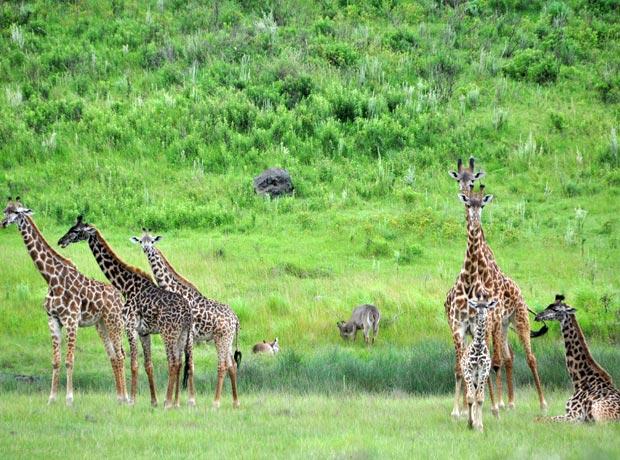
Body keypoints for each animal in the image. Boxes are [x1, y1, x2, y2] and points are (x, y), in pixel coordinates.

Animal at [0, 196, 127, 404]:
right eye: (5, 210)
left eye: (18, 212)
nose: (3, 223)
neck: (51, 278)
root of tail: (120, 298)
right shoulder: (53, 319)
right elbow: (55, 361)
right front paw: (51, 399)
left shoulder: (71, 320)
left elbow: (69, 361)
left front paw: (69, 399)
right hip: (101, 324)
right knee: (114, 356)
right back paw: (119, 397)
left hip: (113, 321)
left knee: (121, 355)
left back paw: (125, 398)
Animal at [57, 215, 195, 406]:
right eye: (70, 227)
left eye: (76, 230)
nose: (61, 241)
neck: (126, 286)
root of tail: (188, 313)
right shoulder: (144, 331)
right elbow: (148, 365)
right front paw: (153, 401)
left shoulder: (130, 326)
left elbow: (133, 364)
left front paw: (132, 400)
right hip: (183, 334)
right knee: (180, 362)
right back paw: (175, 402)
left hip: (169, 332)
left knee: (173, 362)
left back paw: (169, 402)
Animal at [131, 230, 242, 410]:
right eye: (141, 241)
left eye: (152, 241)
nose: (146, 249)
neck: (175, 289)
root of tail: (236, 319)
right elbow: (183, 364)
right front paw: (178, 401)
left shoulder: (188, 336)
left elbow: (188, 365)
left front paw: (186, 401)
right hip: (229, 339)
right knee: (232, 365)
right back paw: (235, 402)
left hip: (221, 338)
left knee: (223, 365)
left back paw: (216, 402)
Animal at [460, 294, 498, 432]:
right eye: (476, 305)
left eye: (486, 306)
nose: (481, 312)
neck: (479, 347)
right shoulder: (468, 371)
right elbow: (470, 397)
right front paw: (470, 423)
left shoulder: (484, 371)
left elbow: (480, 398)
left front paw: (479, 426)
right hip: (470, 377)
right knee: (471, 395)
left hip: (477, 378)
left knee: (477, 396)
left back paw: (476, 423)